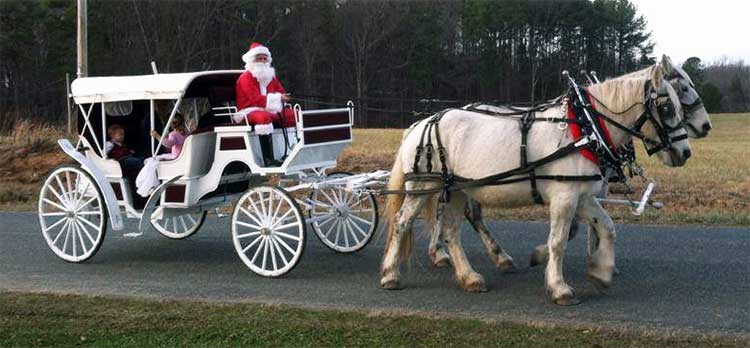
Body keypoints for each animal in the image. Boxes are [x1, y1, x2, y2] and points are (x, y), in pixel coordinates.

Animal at [382, 65, 692, 304]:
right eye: (667, 107)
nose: (685, 152)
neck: (585, 127)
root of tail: (420, 124)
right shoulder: (565, 196)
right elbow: (558, 241)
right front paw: (559, 287)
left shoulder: (581, 196)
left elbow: (607, 227)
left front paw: (601, 272)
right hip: (423, 186)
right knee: (402, 221)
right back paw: (390, 274)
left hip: (456, 189)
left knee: (452, 231)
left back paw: (469, 277)